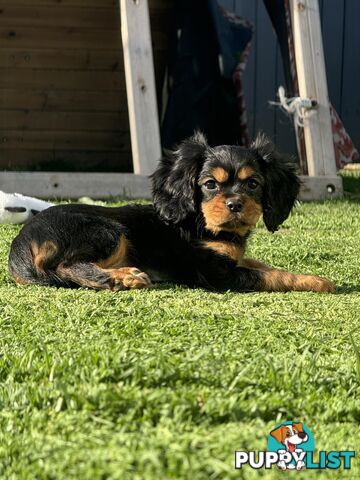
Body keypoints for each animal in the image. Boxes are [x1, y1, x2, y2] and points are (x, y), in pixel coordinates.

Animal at [7, 132, 334, 292]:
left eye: (253, 183)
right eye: (210, 184)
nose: (234, 204)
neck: (201, 222)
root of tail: (20, 242)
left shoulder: (232, 258)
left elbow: (262, 265)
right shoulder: (215, 273)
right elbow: (271, 276)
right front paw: (318, 282)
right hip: (108, 230)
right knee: (66, 266)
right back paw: (117, 278)